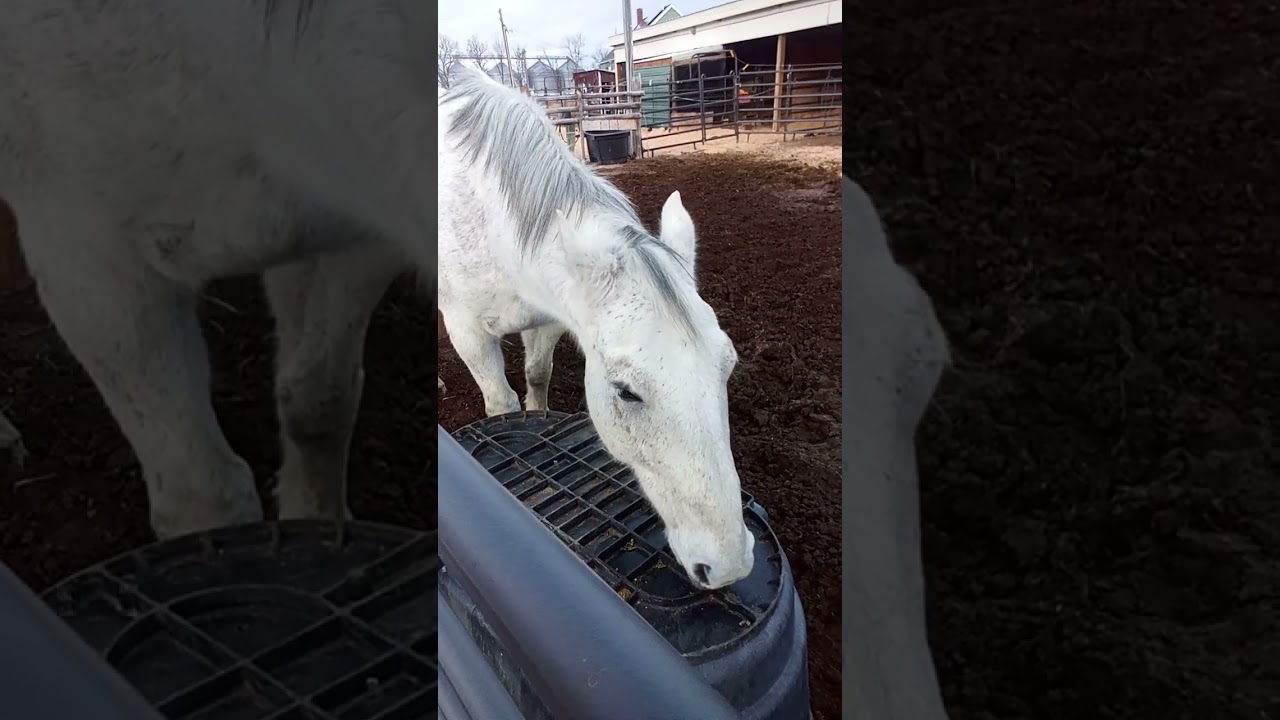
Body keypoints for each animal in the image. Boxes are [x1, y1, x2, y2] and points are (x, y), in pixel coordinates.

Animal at [437, 68, 754, 591]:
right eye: (625, 392)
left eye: (727, 367)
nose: (728, 565)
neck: (491, 220)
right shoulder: (468, 332)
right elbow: (500, 405)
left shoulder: (546, 321)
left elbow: (538, 378)